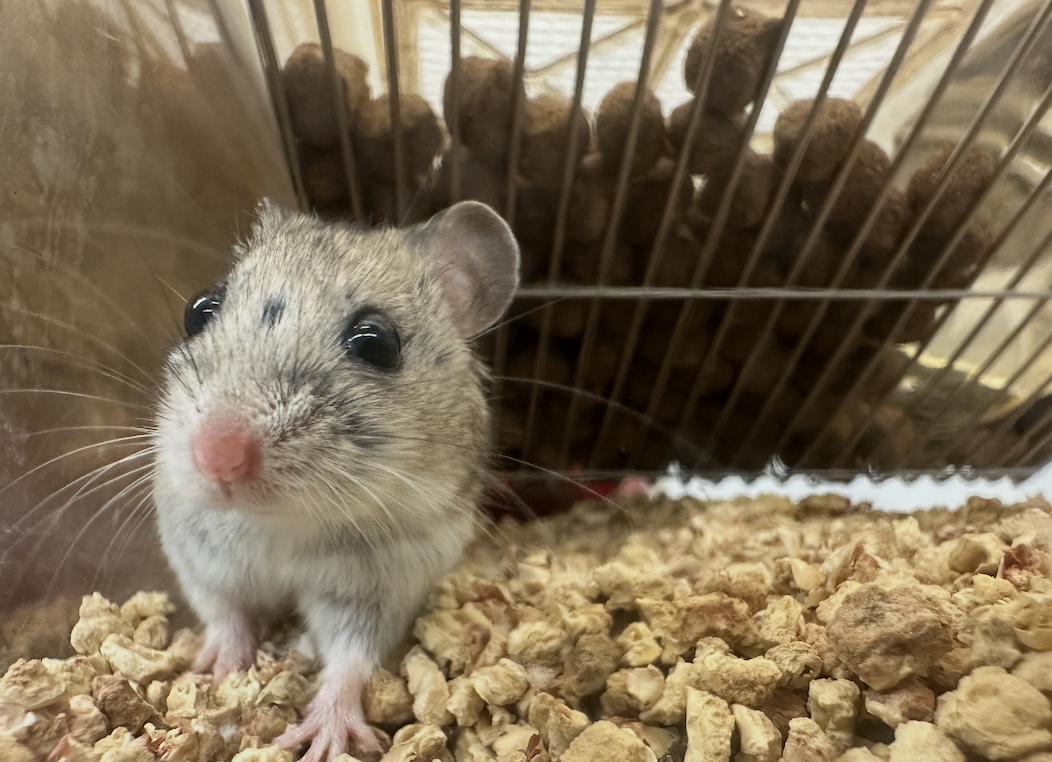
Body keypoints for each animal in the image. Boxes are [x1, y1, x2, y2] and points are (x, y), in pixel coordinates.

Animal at [152, 200, 520, 761]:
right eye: (198, 309)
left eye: (378, 342)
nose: (216, 457)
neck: (279, 523)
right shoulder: (195, 551)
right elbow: (224, 610)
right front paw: (219, 673)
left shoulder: (378, 586)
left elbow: (350, 657)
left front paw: (323, 738)